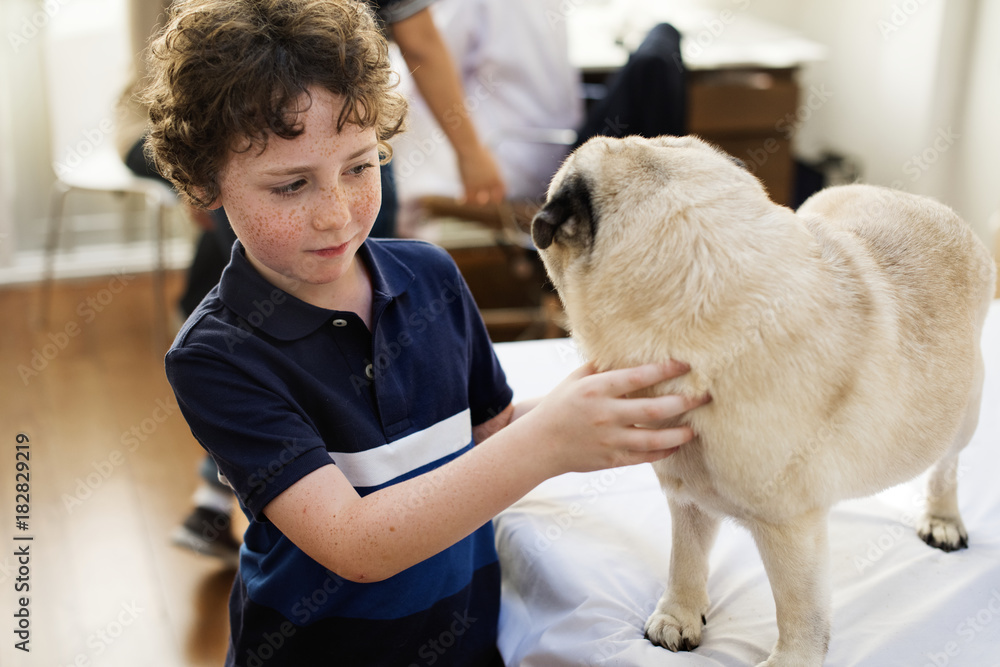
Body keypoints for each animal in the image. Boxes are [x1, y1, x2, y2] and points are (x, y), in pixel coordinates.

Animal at [532, 134, 992, 667]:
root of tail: (922, 202)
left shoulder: (789, 529)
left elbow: (799, 609)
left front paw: (793, 659)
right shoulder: (688, 496)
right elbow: (684, 560)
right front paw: (679, 615)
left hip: (964, 413)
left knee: (946, 466)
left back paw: (944, 518)